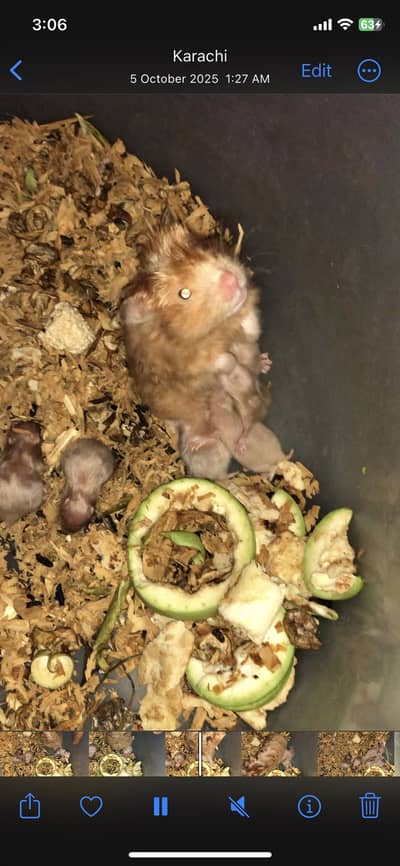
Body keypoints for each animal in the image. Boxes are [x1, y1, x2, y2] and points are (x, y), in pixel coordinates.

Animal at [120, 223, 271, 475]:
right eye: (184, 293)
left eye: (201, 249)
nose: (231, 279)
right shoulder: (189, 364)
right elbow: (221, 360)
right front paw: (228, 365)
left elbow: (251, 328)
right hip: (185, 410)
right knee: (195, 426)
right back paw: (201, 439)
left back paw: (265, 363)